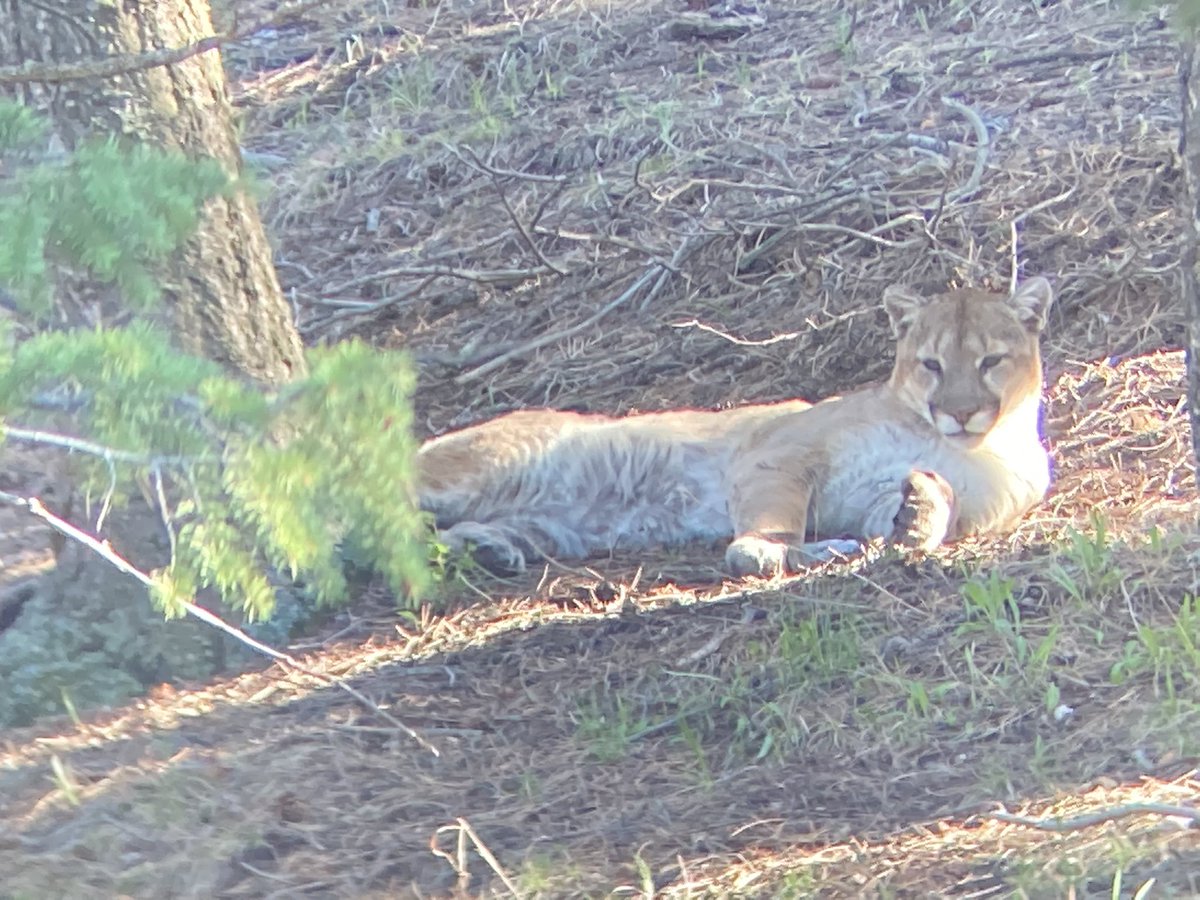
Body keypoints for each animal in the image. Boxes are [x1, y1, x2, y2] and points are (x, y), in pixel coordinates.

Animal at [417, 278, 1054, 577]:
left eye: (990, 362)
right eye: (932, 365)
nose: (960, 412)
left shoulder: (878, 498)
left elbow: (932, 509)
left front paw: (918, 512)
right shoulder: (778, 452)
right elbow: (772, 523)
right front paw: (767, 552)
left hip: (544, 524)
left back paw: (487, 550)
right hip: (475, 471)